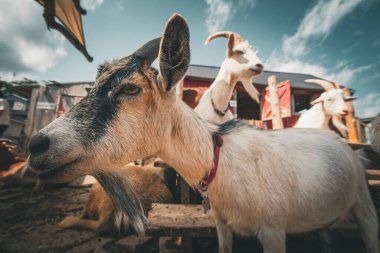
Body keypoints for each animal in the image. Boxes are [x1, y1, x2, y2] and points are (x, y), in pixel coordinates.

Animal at [28, 14, 378, 253]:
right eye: (91, 87)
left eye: (130, 88)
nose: (36, 145)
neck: (219, 161)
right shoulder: (223, 226)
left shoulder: (273, 231)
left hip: (363, 203)